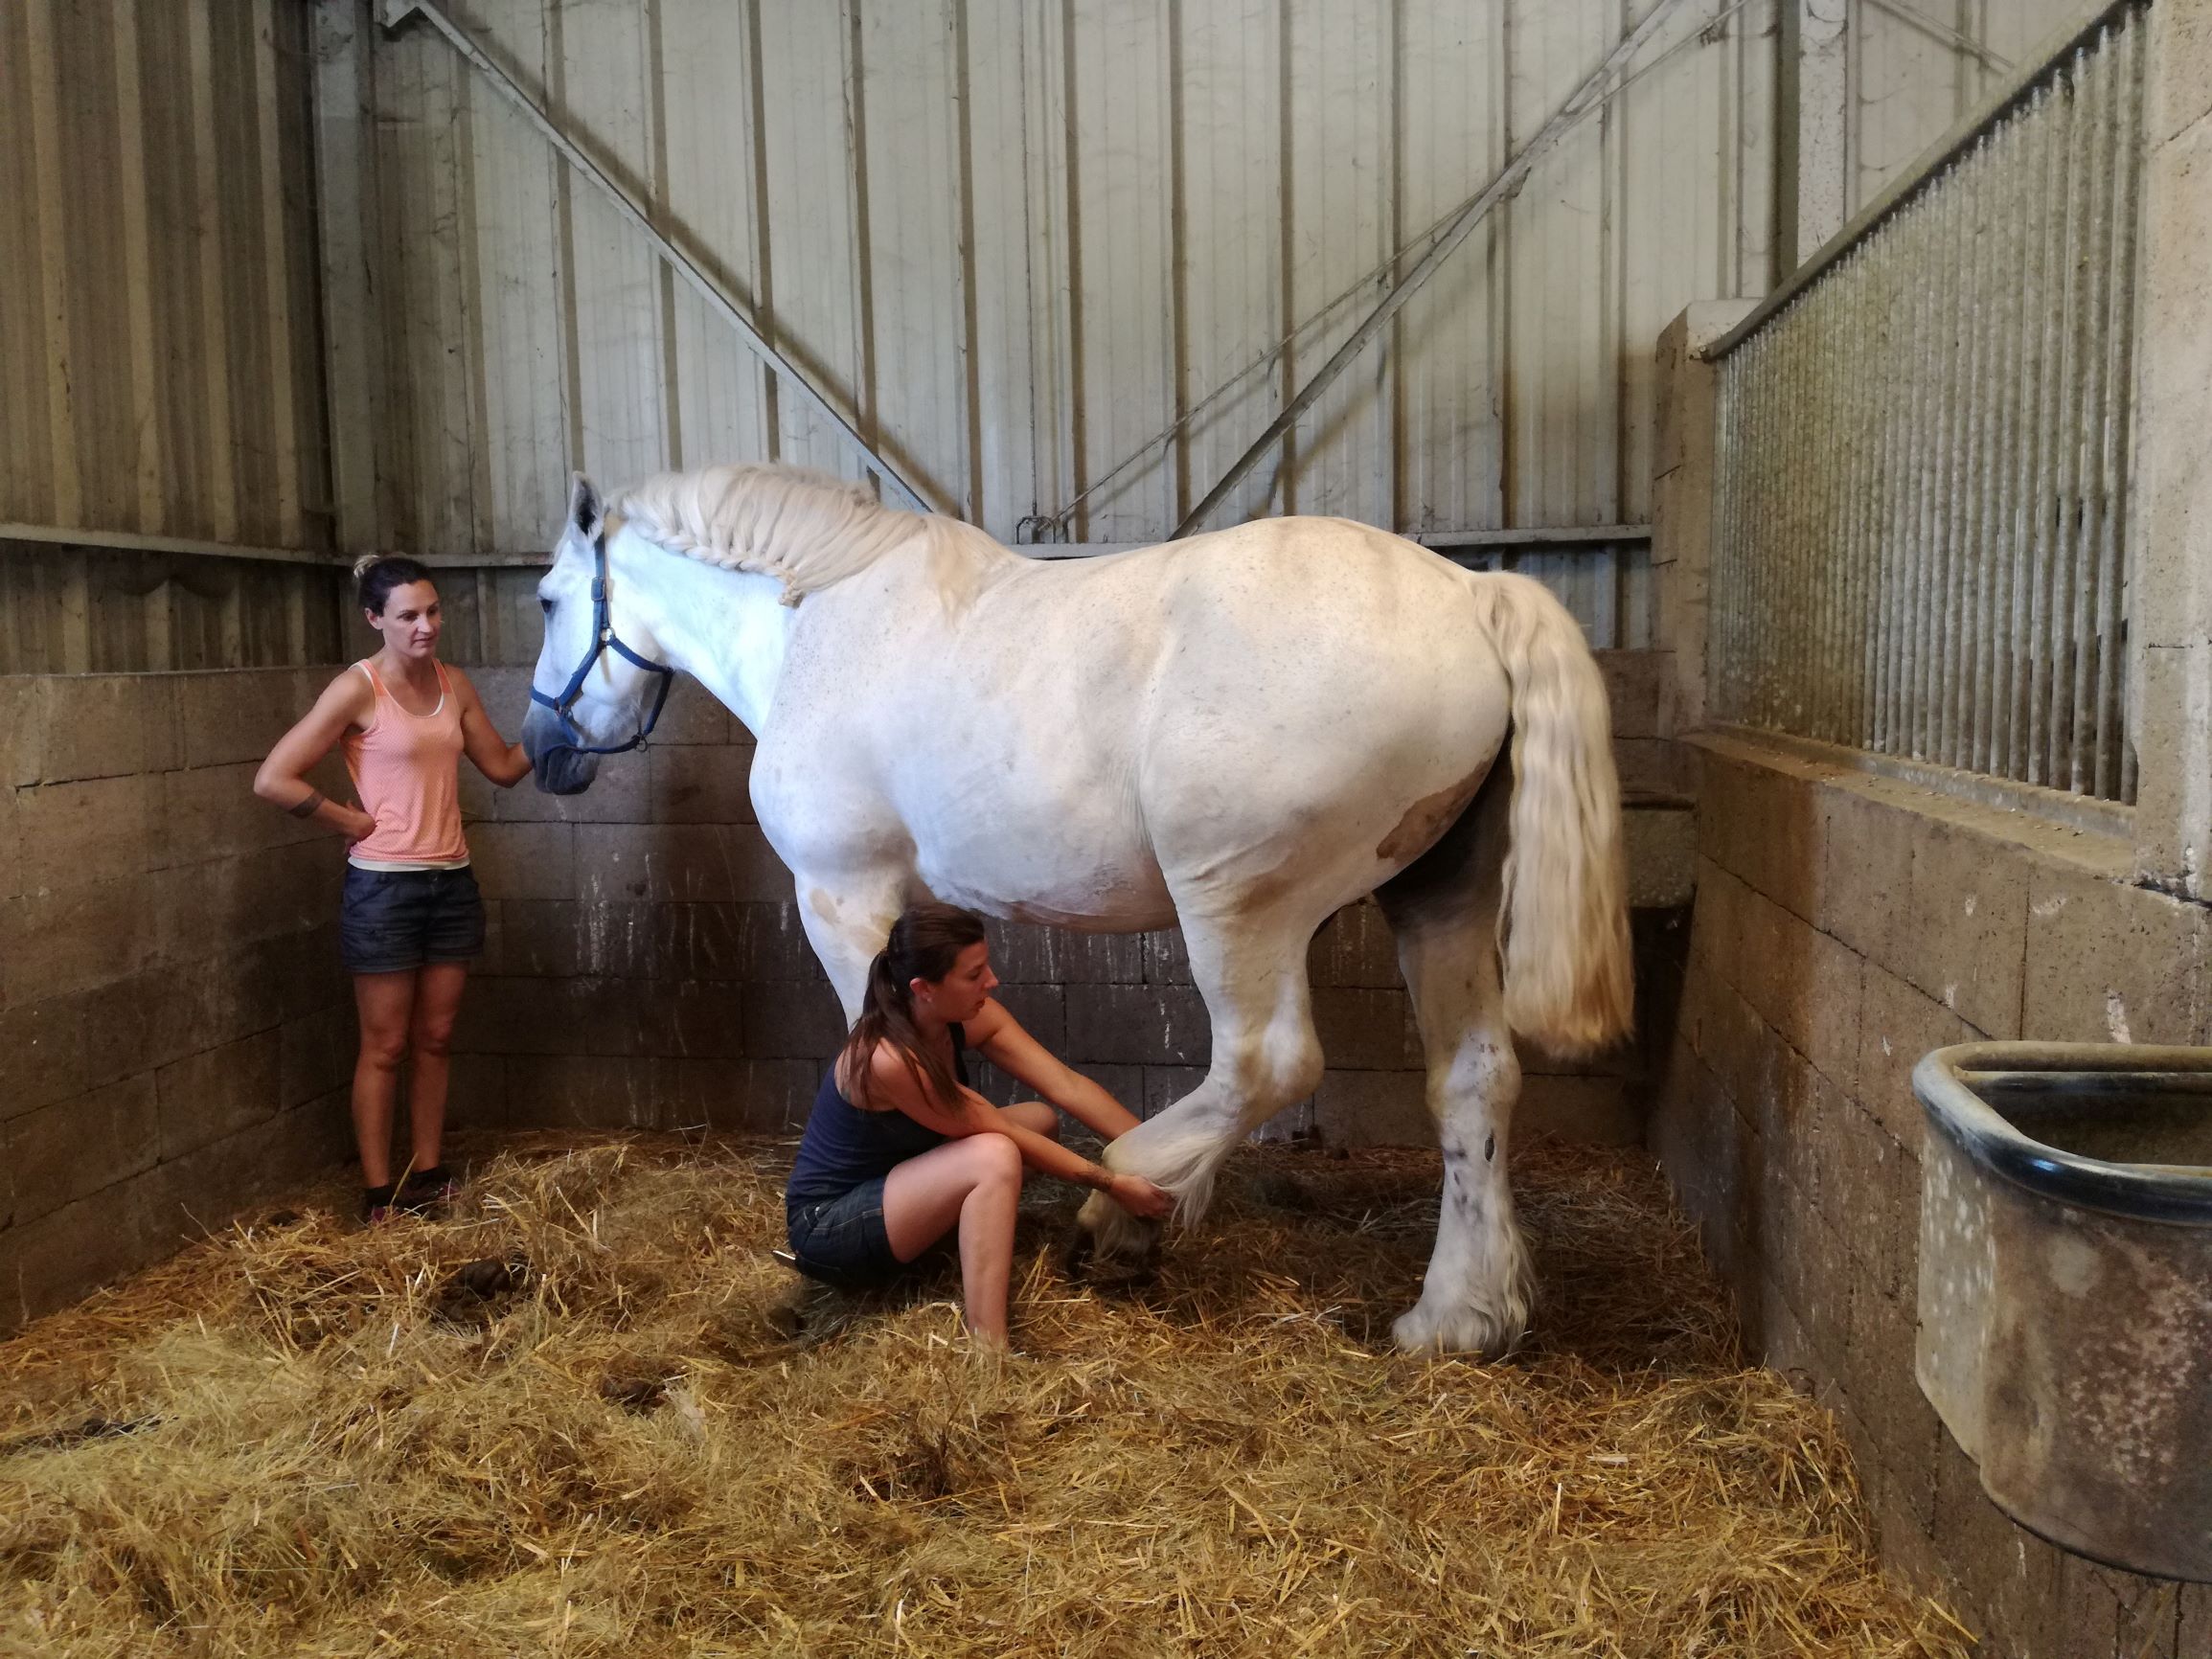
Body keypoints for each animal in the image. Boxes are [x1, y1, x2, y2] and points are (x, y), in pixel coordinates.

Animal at [517, 462, 1628, 1353]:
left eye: (545, 598)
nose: (542, 750)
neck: (817, 628)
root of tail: (1471, 592)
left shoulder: (842, 898)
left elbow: (867, 1051)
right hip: (1436, 894)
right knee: (1472, 1081)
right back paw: (1457, 1316)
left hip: (1238, 906)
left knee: (1265, 1065)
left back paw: (1128, 1207)